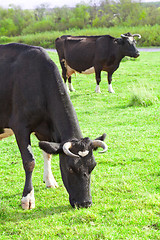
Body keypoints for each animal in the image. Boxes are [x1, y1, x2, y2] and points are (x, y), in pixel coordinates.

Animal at [0, 43, 107, 210]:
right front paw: (27, 198)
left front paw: (50, 181)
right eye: (70, 168)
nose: (85, 203)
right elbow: (29, 162)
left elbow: (47, 153)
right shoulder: (20, 127)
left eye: (93, 166)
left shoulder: (44, 130)